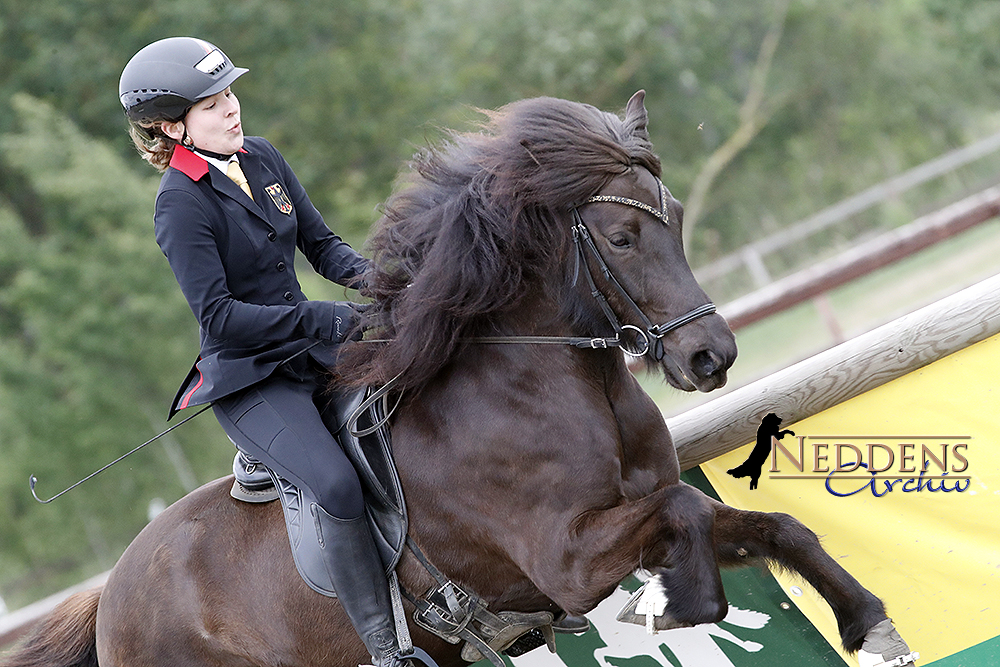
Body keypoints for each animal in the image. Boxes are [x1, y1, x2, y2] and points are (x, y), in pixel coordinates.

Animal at [1, 92, 916, 667]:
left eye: (680, 218)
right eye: (621, 237)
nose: (710, 358)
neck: (551, 386)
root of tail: (109, 598)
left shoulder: (639, 513)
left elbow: (773, 527)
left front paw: (869, 623)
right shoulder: (568, 557)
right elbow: (687, 514)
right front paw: (676, 602)